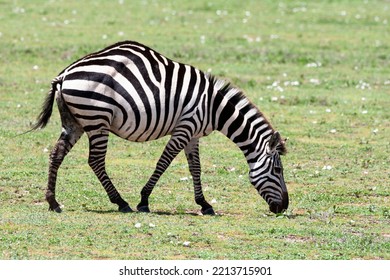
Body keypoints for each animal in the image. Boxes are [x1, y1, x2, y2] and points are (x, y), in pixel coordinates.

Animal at [32, 40, 290, 214]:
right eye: (278, 170)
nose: (285, 207)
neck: (214, 108)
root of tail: (64, 75)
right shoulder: (185, 127)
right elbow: (163, 162)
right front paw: (144, 201)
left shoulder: (193, 134)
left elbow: (195, 168)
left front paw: (204, 204)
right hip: (97, 120)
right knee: (95, 161)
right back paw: (121, 203)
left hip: (75, 122)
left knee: (56, 154)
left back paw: (53, 202)